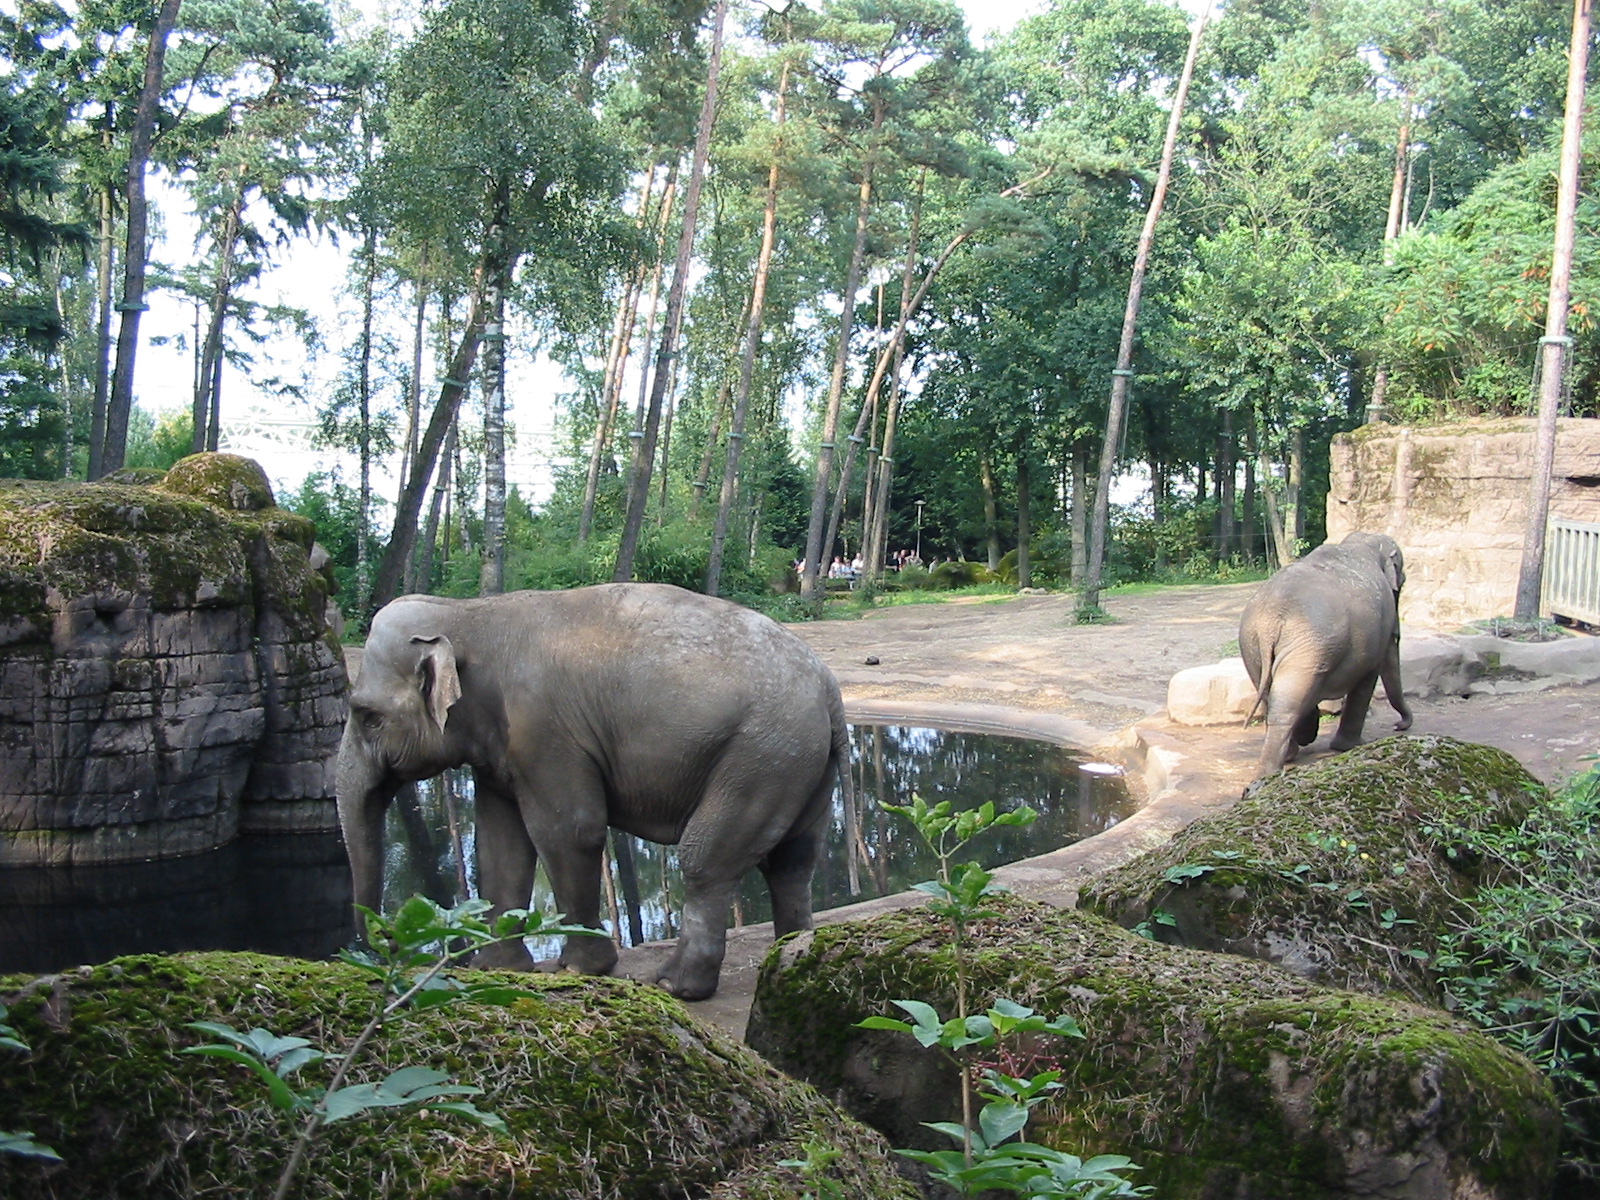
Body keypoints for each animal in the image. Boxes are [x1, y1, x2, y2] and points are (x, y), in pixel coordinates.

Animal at [336, 582, 851, 1001]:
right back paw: (789, 957)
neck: (469, 614)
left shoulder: (544, 731)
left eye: (366, 715)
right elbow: (499, 842)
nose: (387, 938)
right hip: (801, 763)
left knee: (706, 861)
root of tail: (828, 687)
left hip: (761, 756)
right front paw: (495, 969)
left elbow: (569, 831)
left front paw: (580, 969)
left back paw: (675, 986)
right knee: (794, 859)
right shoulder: (502, 746)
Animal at [1238, 531, 1414, 780]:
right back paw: (1273, 769)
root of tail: (1272, 618)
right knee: (1288, 702)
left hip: (1253, 645)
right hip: (1307, 645)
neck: (1363, 541)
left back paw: (1289, 754)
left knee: (1271, 694)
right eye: (1402, 582)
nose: (1398, 726)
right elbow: (1367, 679)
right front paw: (1350, 746)